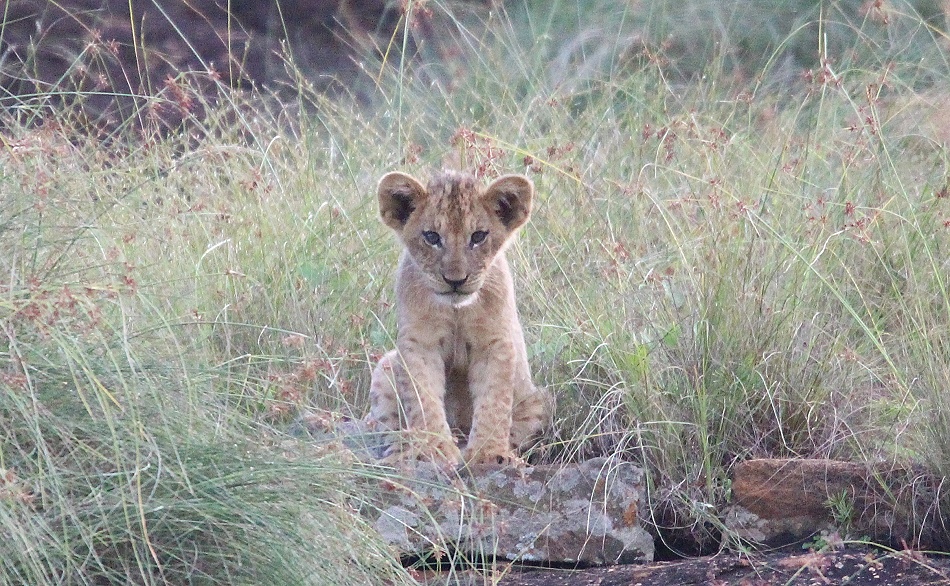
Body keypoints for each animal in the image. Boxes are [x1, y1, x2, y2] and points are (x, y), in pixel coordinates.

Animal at [367, 169, 551, 467]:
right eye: (432, 236)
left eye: (478, 236)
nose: (456, 280)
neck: (456, 310)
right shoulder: (420, 342)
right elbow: (423, 398)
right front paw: (434, 449)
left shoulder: (494, 341)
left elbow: (494, 400)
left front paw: (489, 454)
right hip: (385, 366)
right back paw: (400, 453)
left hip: (538, 399)